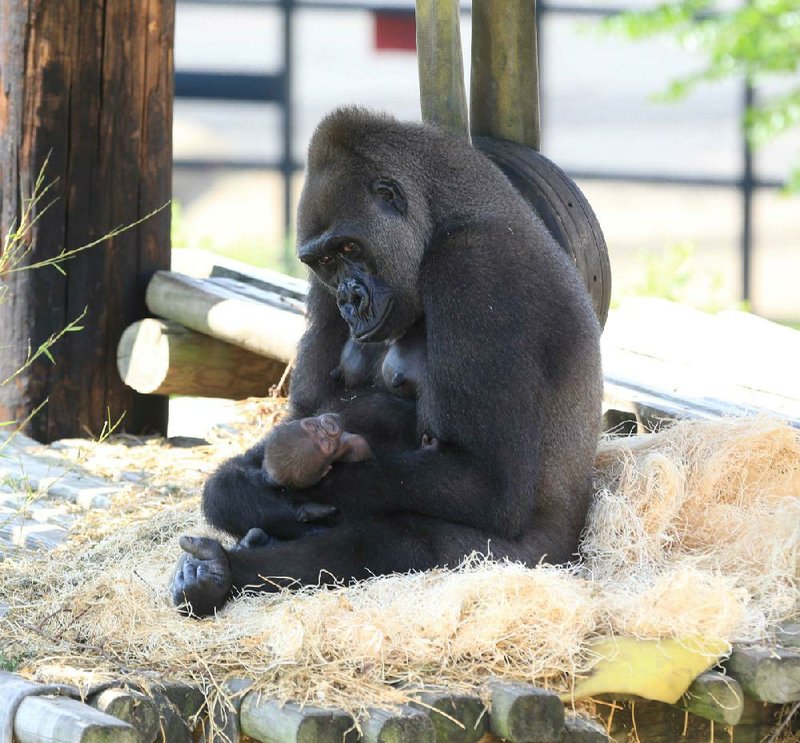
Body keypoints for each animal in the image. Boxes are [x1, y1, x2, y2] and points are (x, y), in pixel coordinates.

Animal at [173, 107, 600, 620]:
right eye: (325, 262)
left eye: (350, 248)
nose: (350, 301)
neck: (441, 220)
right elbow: (299, 417)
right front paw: (254, 494)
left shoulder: (474, 267)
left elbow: (486, 483)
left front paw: (297, 493)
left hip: (528, 559)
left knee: (390, 541)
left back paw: (223, 574)